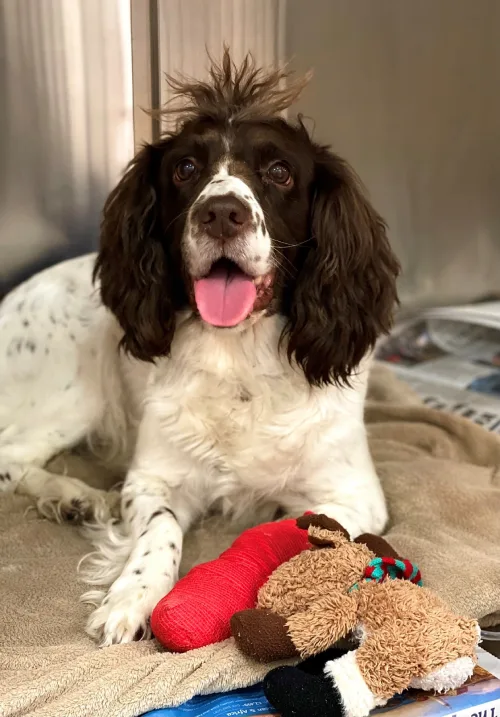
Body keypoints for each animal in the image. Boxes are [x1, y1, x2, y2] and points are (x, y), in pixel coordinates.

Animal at [0, 50, 398, 644]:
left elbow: (292, 529)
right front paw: (133, 595)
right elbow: (159, 531)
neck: (239, 364)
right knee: (11, 456)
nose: (222, 212)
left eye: (280, 172)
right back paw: (75, 495)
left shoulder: (355, 495)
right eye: (186, 170)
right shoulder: (152, 480)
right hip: (75, 391)